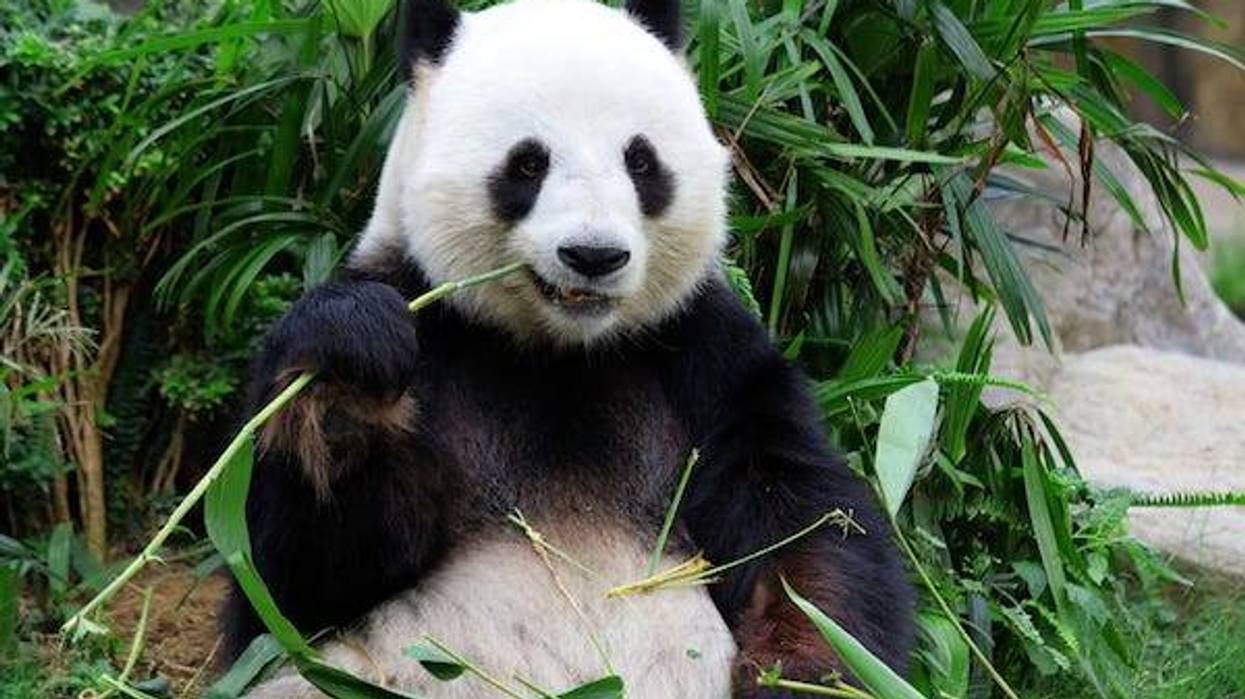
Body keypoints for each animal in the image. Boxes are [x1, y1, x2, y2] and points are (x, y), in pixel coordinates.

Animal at [223, 0, 915, 696]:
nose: (594, 255)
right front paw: (350, 367)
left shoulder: (704, 354)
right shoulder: (431, 321)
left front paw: (804, 669)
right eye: (529, 163)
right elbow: (295, 580)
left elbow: (803, 525)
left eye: (641, 162)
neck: (560, 353)